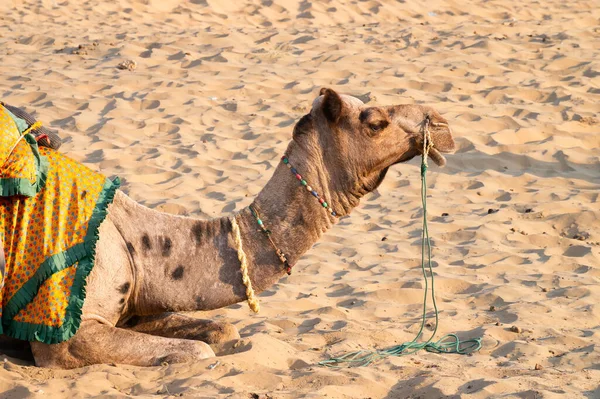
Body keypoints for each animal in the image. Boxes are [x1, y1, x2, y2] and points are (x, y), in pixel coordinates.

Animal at [0, 89, 454, 370]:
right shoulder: (67, 334)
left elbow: (222, 328)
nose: (442, 125)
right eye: (375, 121)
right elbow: (199, 352)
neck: (139, 242)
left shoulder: (133, 308)